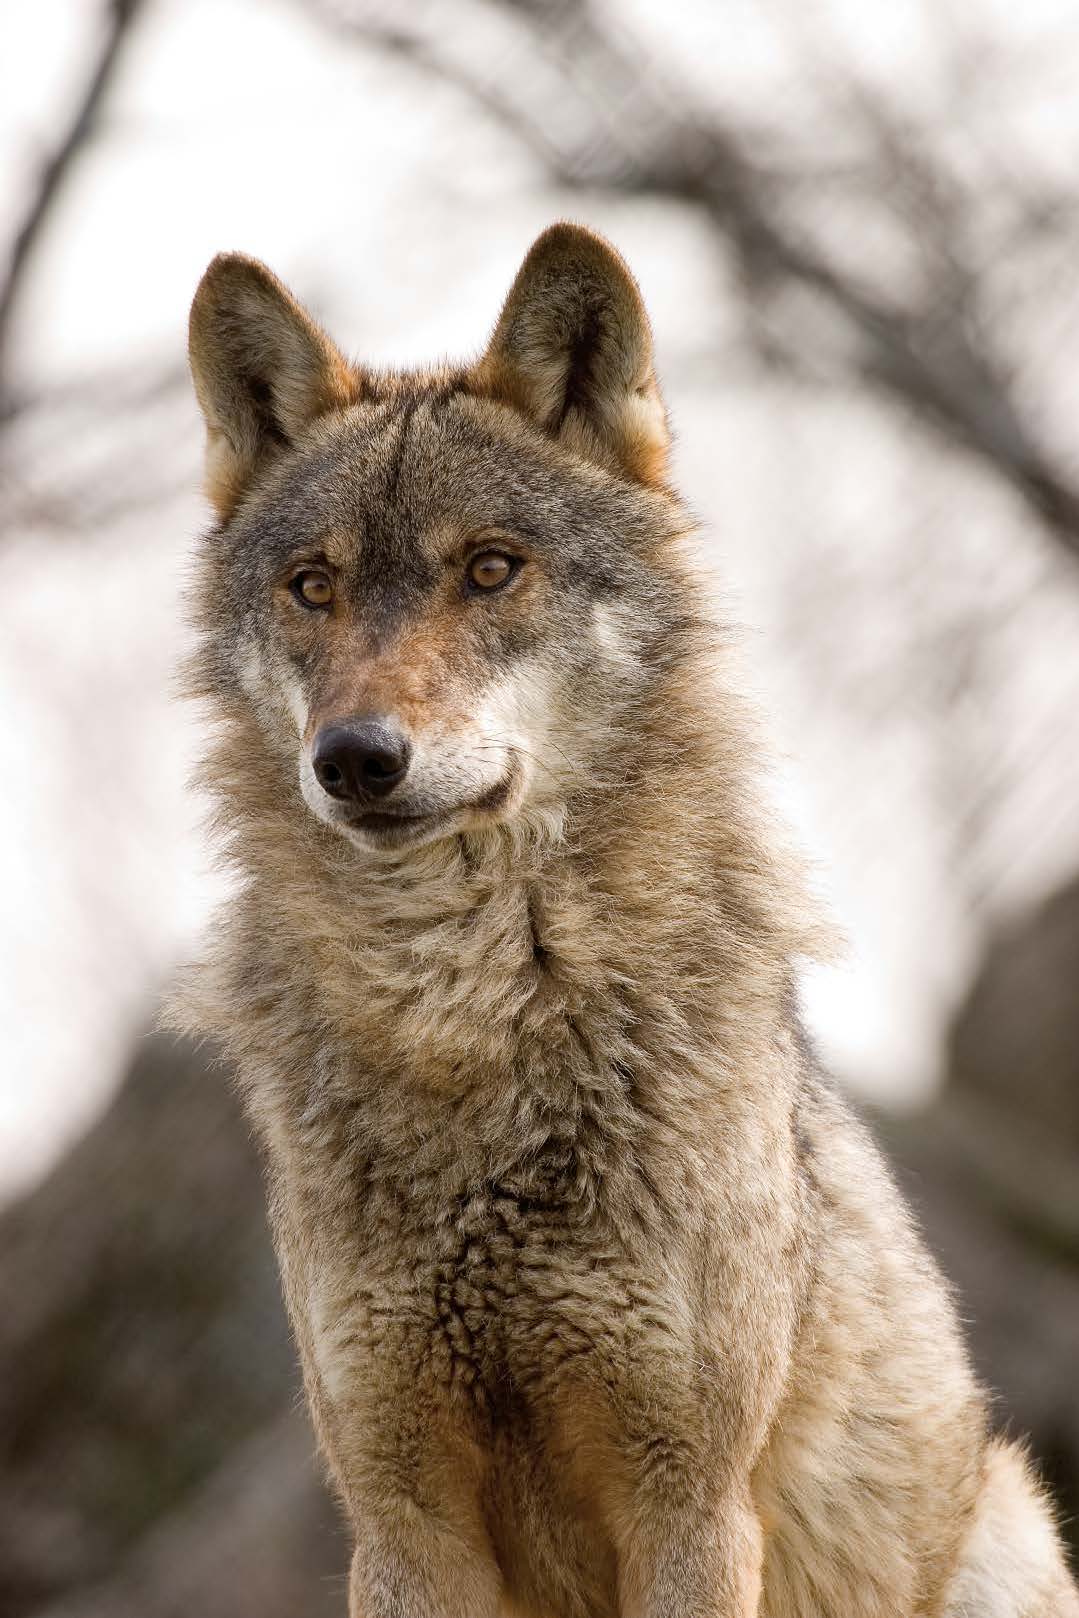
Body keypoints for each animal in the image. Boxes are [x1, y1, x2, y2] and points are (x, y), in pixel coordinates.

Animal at [178, 223, 1079, 1617]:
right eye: (311, 586)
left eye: (490, 567)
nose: (354, 758)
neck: (466, 1017)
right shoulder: (399, 1520)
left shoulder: (688, 1504)